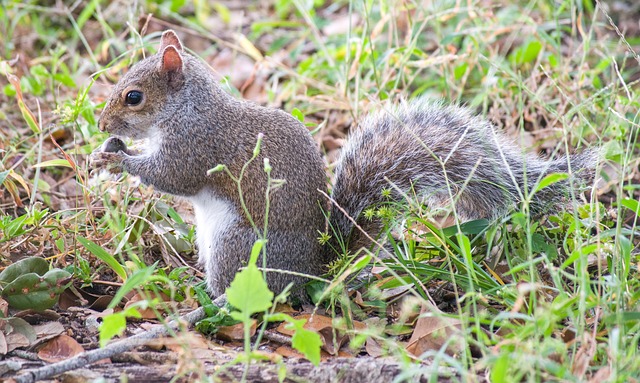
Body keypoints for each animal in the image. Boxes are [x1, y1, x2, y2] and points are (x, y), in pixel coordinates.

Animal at [92, 30, 596, 302]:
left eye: (133, 96)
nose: (100, 123)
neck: (186, 109)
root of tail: (316, 272)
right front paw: (105, 151)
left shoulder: (197, 147)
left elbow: (171, 176)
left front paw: (118, 160)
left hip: (238, 247)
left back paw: (208, 300)